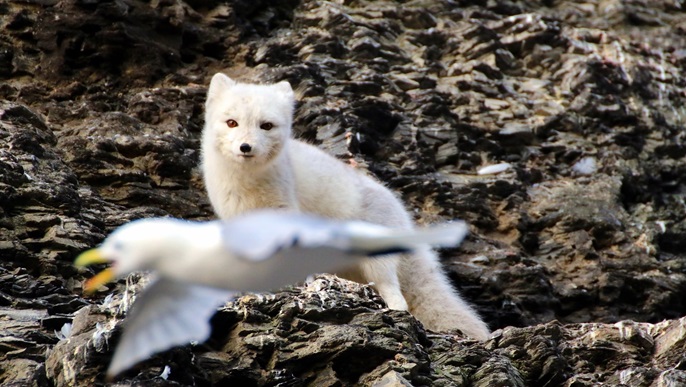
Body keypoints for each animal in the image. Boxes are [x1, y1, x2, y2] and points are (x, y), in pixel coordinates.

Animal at [202, 73, 492, 340]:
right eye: (232, 122)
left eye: (266, 126)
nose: (245, 147)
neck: (247, 183)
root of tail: (403, 214)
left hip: (377, 260)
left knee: (398, 297)